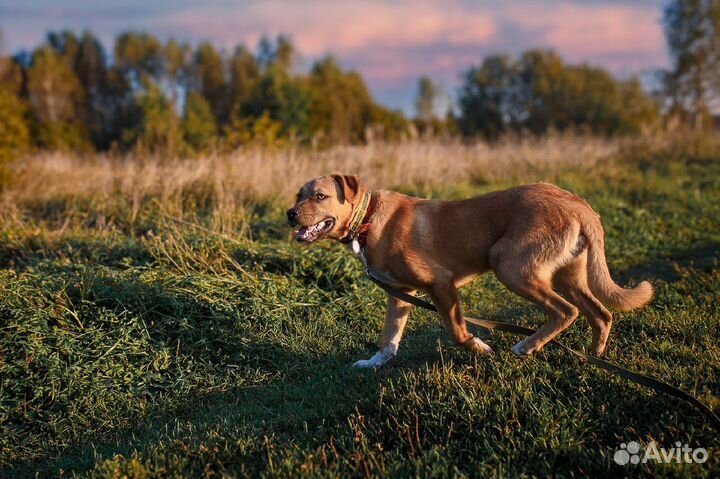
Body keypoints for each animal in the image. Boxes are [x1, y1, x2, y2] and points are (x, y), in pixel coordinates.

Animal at [286, 174, 652, 370]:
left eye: (319, 196)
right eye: (298, 195)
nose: (290, 214)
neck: (369, 218)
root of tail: (577, 203)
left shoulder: (441, 284)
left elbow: (456, 332)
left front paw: (480, 347)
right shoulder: (401, 295)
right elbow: (389, 338)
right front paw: (374, 363)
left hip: (510, 266)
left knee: (567, 311)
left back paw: (527, 347)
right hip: (566, 275)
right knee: (601, 313)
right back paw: (593, 357)